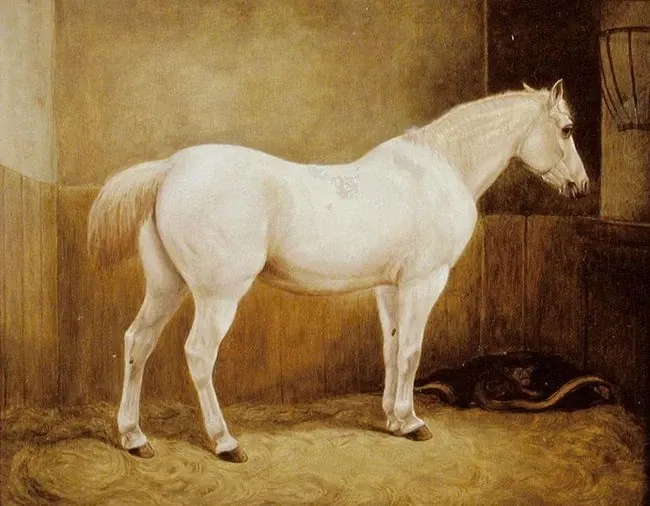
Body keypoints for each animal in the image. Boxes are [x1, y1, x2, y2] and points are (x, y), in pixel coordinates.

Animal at [88, 79, 589, 463]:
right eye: (565, 130)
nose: (581, 187)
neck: (438, 169)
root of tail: (170, 167)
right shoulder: (423, 283)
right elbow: (411, 351)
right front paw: (412, 421)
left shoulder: (389, 288)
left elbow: (391, 349)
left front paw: (393, 418)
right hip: (218, 295)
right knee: (198, 354)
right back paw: (225, 442)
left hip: (166, 287)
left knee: (138, 343)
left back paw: (134, 438)